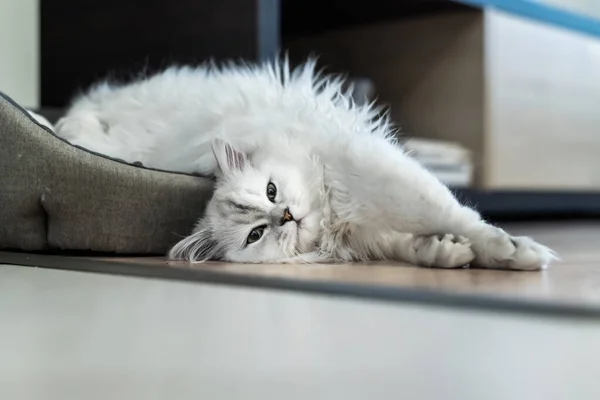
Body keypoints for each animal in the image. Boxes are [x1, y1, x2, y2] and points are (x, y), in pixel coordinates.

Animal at [55, 57, 556, 270]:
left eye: (272, 190)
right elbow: (413, 240)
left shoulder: (368, 170)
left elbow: (449, 212)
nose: (286, 216)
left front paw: (512, 250)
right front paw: (451, 253)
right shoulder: (367, 224)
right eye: (257, 234)